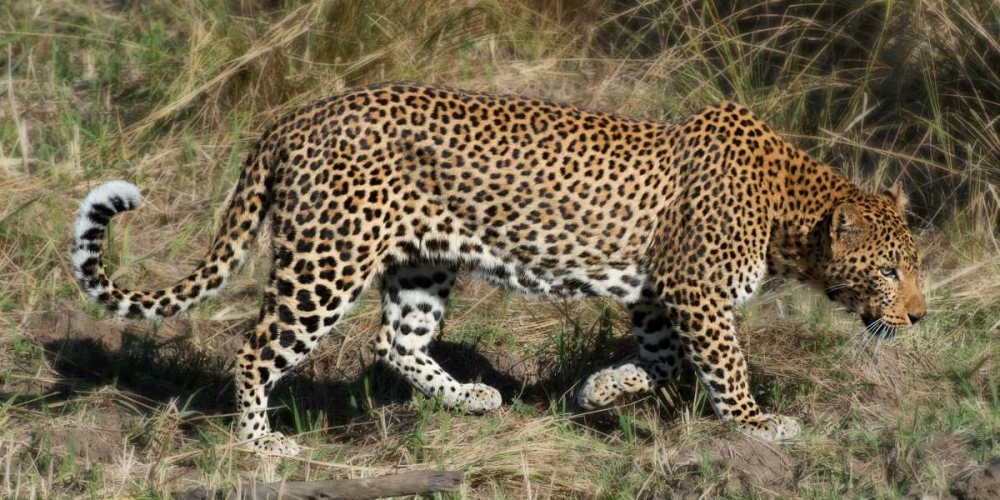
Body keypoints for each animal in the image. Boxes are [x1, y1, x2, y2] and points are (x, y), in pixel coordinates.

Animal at [71, 82, 928, 456]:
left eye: (912, 270)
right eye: (888, 273)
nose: (920, 318)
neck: (792, 212)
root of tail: (294, 118)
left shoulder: (658, 297)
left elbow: (662, 364)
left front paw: (596, 390)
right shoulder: (697, 292)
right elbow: (724, 367)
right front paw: (757, 423)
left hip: (422, 262)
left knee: (395, 342)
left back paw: (473, 398)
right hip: (328, 260)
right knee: (256, 349)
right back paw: (262, 445)